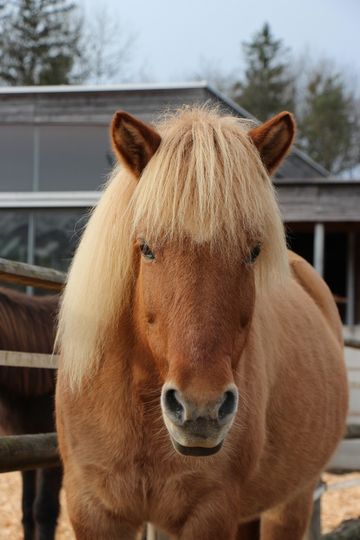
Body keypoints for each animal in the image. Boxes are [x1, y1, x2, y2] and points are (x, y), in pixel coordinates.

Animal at [54, 106, 348, 540]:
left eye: (253, 251)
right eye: (146, 248)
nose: (201, 411)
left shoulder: (211, 513)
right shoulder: (94, 511)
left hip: (291, 501)